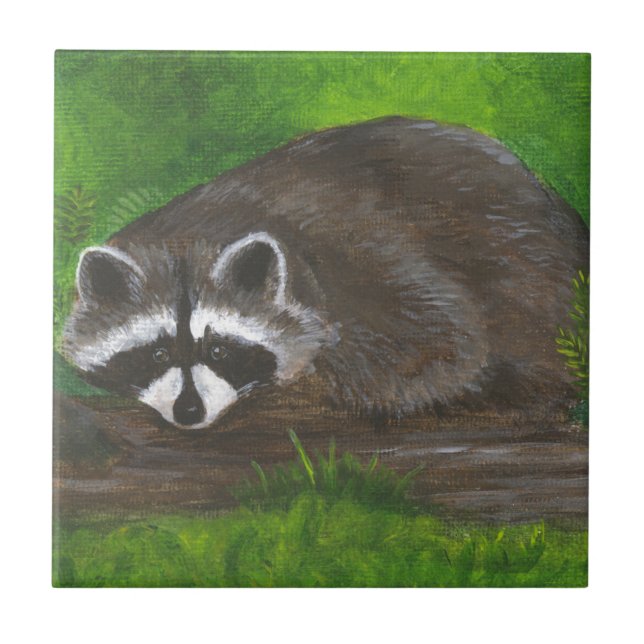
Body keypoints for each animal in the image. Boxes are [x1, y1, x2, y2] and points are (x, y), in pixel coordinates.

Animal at [63, 117, 589, 430]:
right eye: (156, 353)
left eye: (219, 350)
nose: (189, 411)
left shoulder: (365, 261)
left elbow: (447, 347)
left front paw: (301, 388)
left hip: (534, 280)